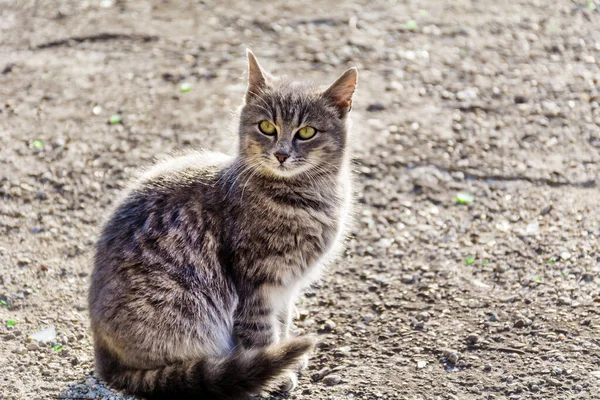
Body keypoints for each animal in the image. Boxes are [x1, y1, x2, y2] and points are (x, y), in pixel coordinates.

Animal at [86, 50, 354, 400]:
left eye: (307, 132)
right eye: (266, 127)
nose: (281, 154)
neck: (307, 197)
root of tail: (105, 363)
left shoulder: (286, 287)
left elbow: (282, 323)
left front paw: (287, 360)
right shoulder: (258, 284)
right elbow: (261, 334)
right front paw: (277, 375)